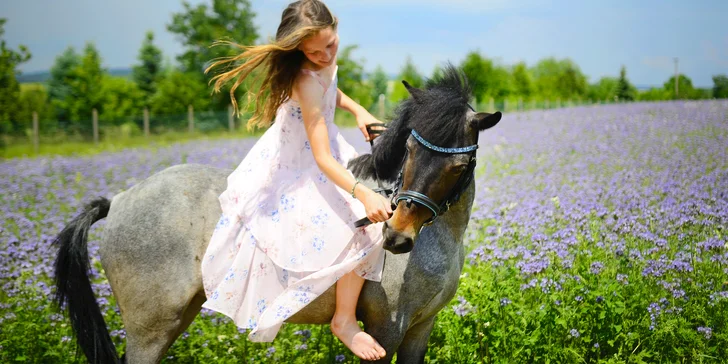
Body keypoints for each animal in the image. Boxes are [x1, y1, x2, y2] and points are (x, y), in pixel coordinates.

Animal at [52, 64, 500, 362]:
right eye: (408, 149)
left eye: (459, 166)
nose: (396, 236)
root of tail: (120, 199)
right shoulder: (387, 329)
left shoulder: (420, 329)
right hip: (151, 327)